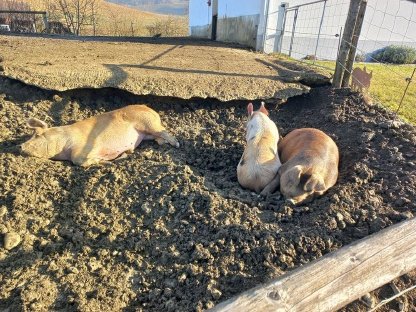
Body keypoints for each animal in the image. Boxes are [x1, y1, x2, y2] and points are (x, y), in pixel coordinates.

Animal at [20, 105, 179, 167]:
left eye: (37, 134)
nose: (20, 146)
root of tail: (150, 109)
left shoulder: (85, 146)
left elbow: (77, 160)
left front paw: (110, 160)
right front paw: (120, 157)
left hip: (148, 122)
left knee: (164, 131)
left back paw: (176, 144)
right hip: (146, 133)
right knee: (158, 137)